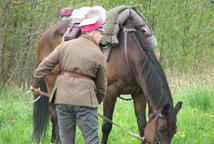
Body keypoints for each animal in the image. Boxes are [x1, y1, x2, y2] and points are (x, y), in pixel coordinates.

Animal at [33, 11, 182, 143]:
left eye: (174, 131)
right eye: (161, 129)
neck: (128, 55)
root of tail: (44, 36)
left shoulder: (139, 94)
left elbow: (142, 126)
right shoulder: (110, 92)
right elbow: (106, 127)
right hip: (51, 80)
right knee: (54, 115)